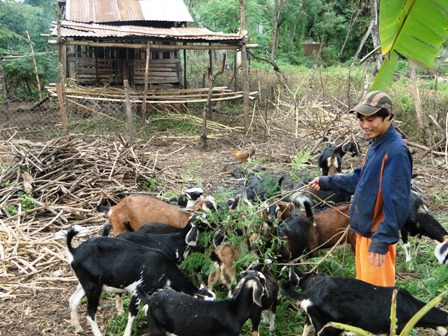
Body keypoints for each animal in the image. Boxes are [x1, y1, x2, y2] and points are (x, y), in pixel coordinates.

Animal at [60, 224, 214, 336]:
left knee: (73, 300)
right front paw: (127, 333)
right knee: (90, 313)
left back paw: (78, 328)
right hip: (93, 287)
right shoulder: (137, 290)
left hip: (86, 283)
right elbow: (132, 314)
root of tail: (74, 251)